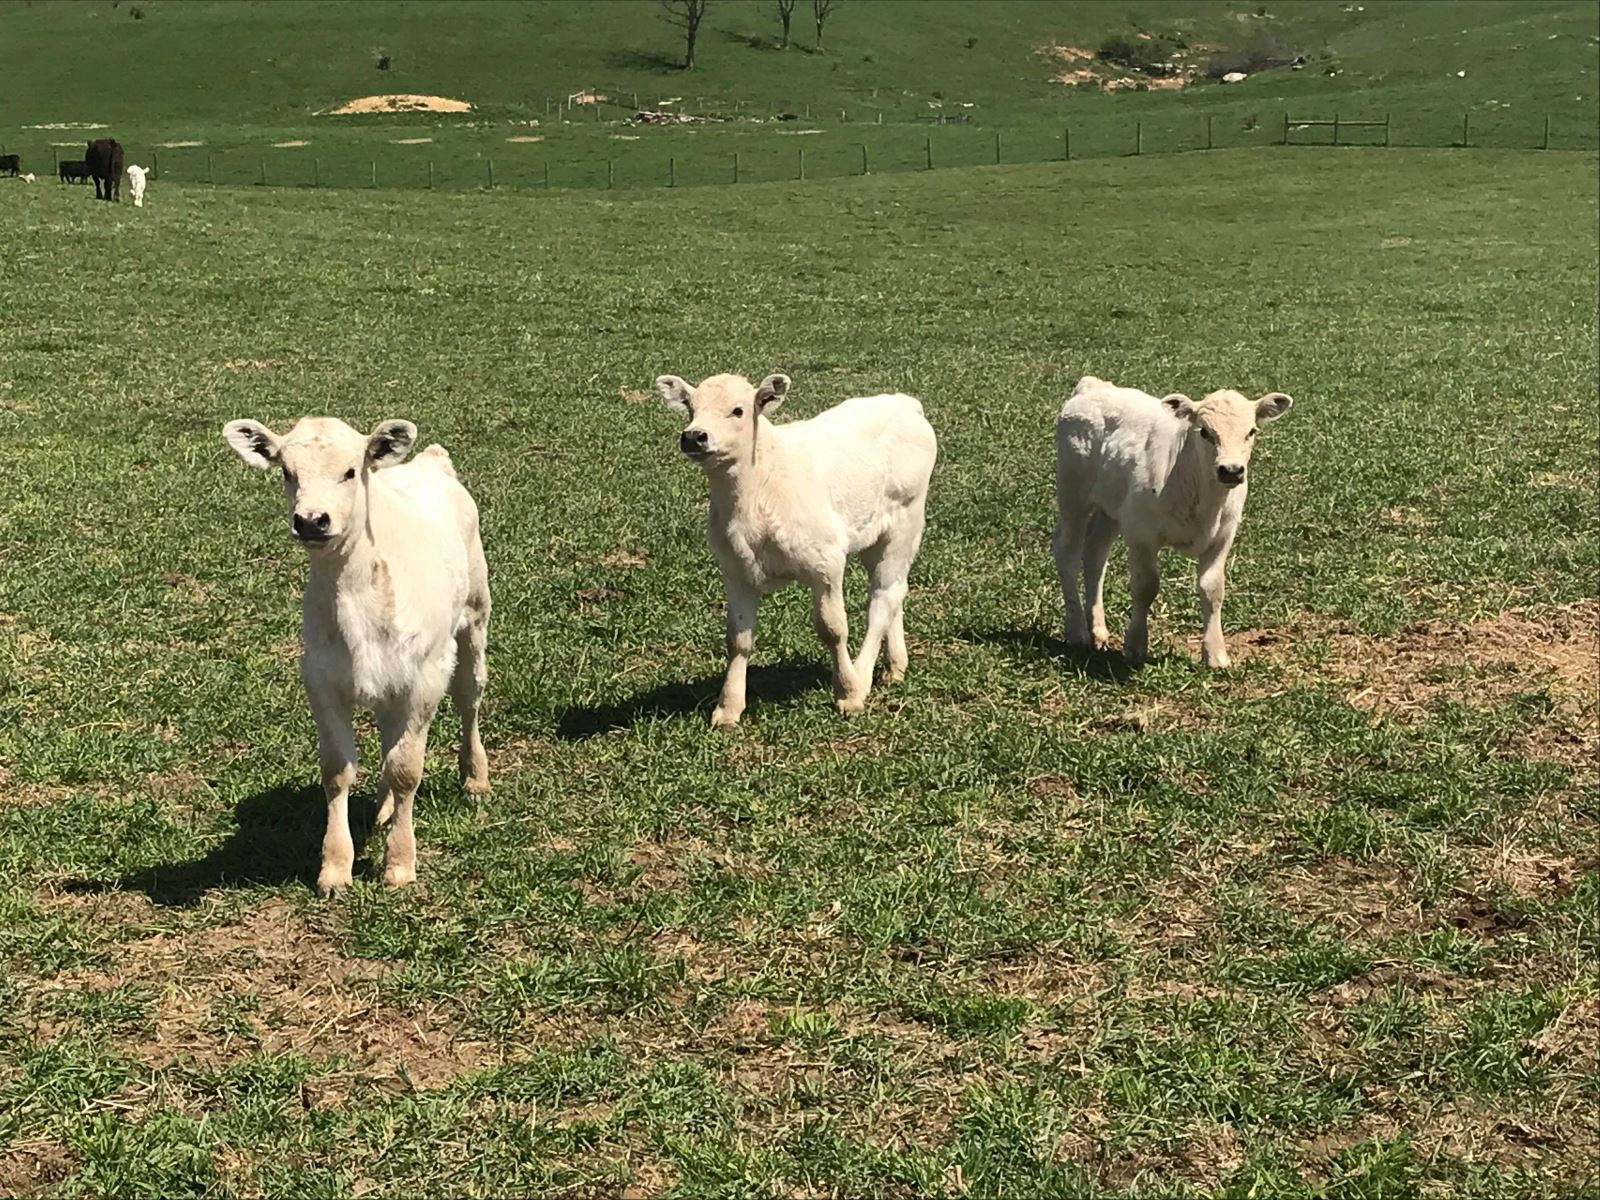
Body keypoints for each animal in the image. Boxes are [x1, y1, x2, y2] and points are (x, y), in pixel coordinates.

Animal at [222, 412, 489, 896]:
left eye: (350, 471)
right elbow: (338, 770)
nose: (311, 521)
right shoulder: (321, 679)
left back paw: (476, 777)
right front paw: (334, 867)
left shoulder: (424, 678)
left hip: (475, 615)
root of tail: (430, 461)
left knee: (469, 698)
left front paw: (400, 864)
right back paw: (383, 809)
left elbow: (406, 768)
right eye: (287, 473)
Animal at [656, 371, 934, 729]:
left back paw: (861, 676)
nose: (694, 436)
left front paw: (847, 693)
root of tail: (903, 402)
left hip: (906, 519)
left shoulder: (827, 561)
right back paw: (895, 665)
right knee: (894, 590)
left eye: (738, 410)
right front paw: (728, 708)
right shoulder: (735, 571)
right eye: (690, 407)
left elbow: (832, 628)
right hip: (872, 534)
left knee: (882, 599)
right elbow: (737, 640)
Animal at [1056, 376, 1292, 668]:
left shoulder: (1222, 537)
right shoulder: (1142, 535)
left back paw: (1098, 631)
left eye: (1251, 431)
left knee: (1095, 556)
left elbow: (1212, 589)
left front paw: (1216, 654)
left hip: (1109, 509)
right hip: (1072, 495)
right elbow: (1145, 587)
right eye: (1204, 432)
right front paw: (1136, 646)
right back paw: (1076, 629)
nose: (1231, 471)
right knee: (1067, 552)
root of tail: (1093, 385)